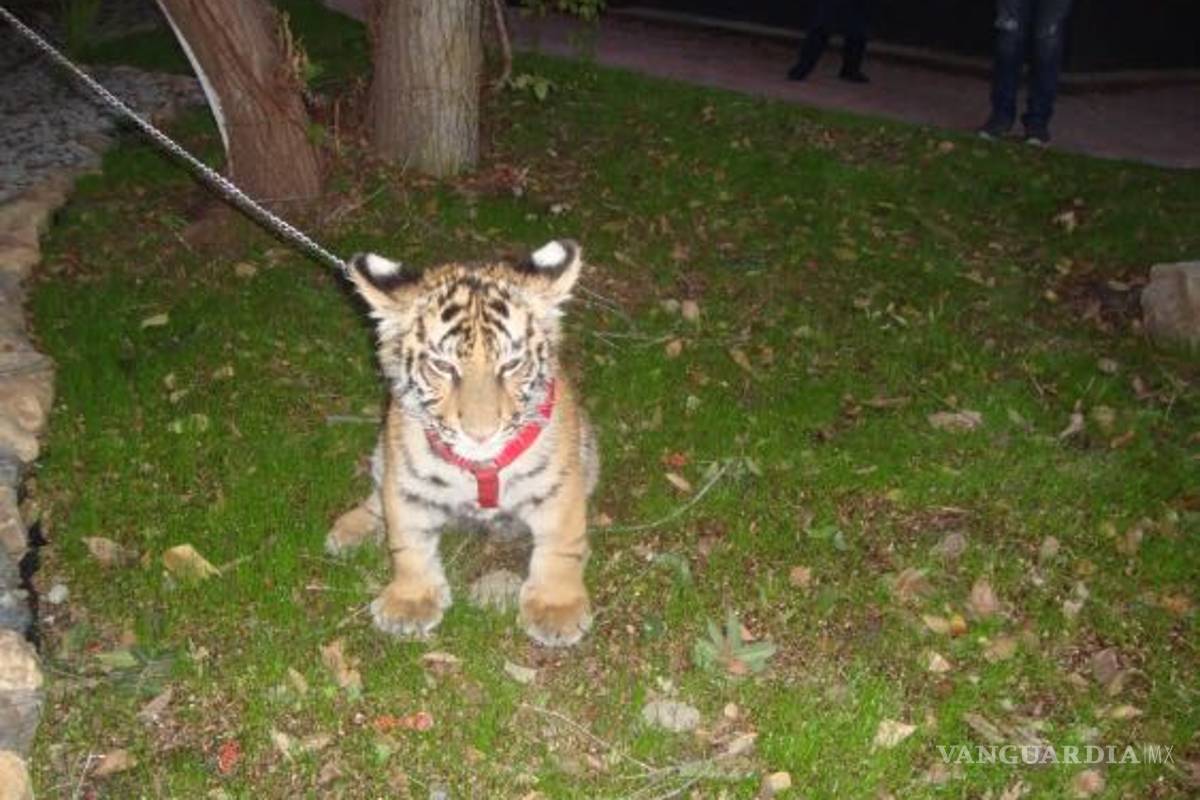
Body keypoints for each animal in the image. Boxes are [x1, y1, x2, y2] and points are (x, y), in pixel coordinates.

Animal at [327, 239, 599, 647]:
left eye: (511, 365)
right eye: (443, 367)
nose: (480, 432)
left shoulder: (560, 485)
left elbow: (561, 543)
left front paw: (557, 609)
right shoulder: (406, 481)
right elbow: (408, 542)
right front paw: (410, 602)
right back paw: (348, 531)